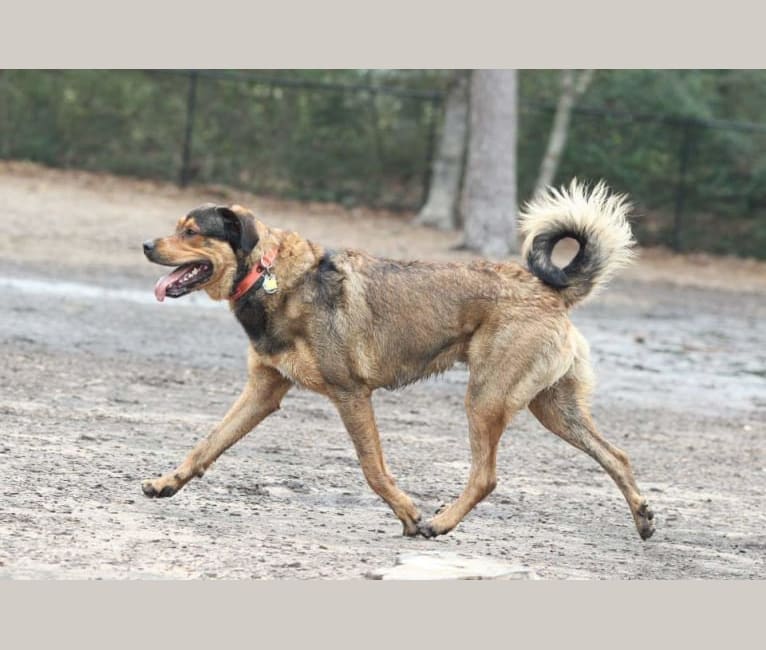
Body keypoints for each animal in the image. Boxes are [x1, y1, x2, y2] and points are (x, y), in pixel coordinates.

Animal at [141, 180, 656, 540]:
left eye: (191, 231)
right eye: (177, 227)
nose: (146, 245)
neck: (270, 275)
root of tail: (549, 291)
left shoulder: (351, 394)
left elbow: (372, 469)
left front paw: (409, 514)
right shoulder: (262, 391)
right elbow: (207, 443)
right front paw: (168, 482)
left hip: (485, 400)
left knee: (486, 477)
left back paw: (440, 524)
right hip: (552, 408)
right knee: (617, 455)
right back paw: (643, 518)